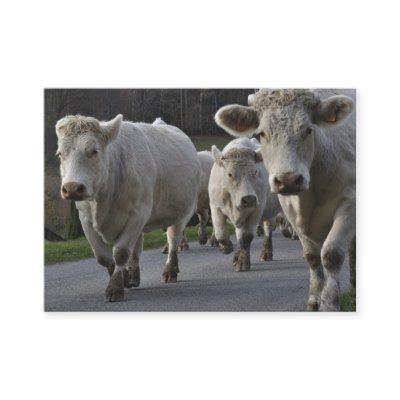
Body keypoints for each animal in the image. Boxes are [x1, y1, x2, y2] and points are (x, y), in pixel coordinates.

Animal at [55, 114, 200, 302]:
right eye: (60, 154)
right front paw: (123, 278)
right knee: (137, 246)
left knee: (173, 240)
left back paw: (170, 271)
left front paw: (115, 287)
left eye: (94, 151)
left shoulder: (138, 213)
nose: (72, 188)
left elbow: (121, 252)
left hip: (183, 212)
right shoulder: (85, 218)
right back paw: (133, 275)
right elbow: (103, 256)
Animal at [209, 138, 282, 272]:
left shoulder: (257, 209)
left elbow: (246, 236)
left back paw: (266, 253)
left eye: (255, 172)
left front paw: (242, 262)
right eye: (230, 174)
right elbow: (220, 234)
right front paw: (226, 247)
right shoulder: (215, 207)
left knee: (268, 230)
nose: (249, 199)